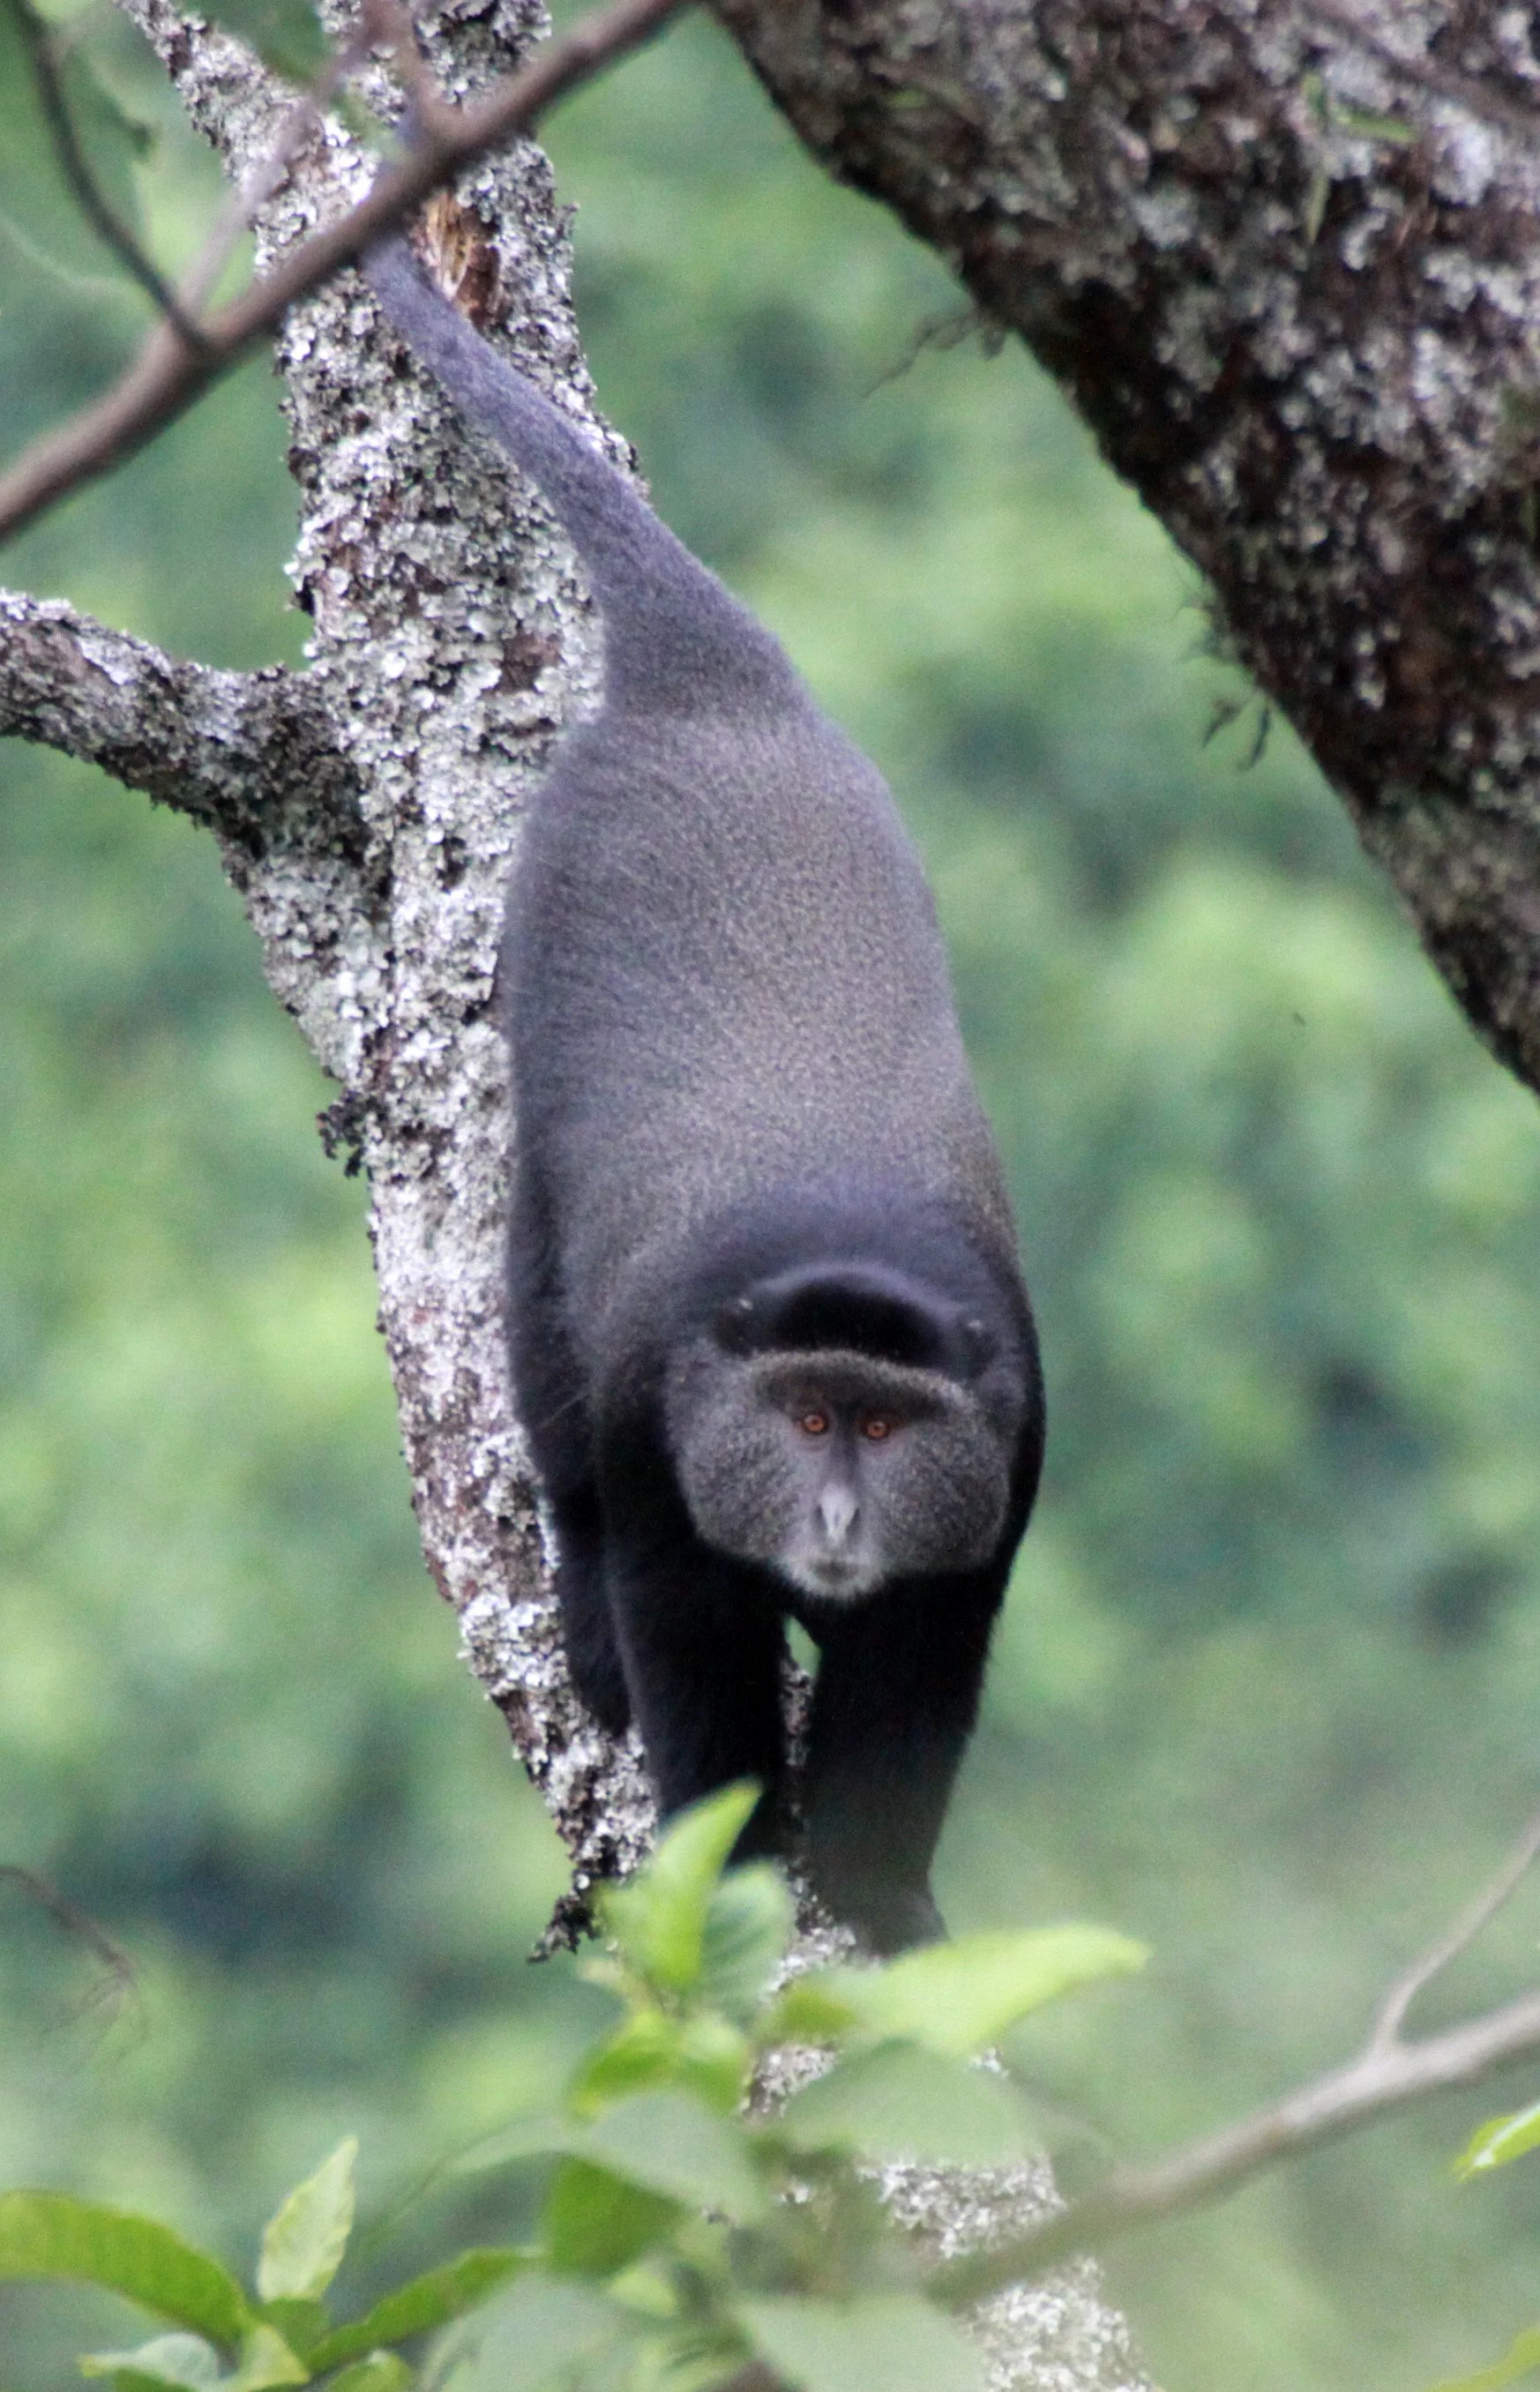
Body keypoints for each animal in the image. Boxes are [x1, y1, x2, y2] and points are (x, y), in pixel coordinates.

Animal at [364, 220, 1045, 1955]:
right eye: (804, 1415)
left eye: (880, 1425)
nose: (838, 1523)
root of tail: (710, 693)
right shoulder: (658, 1421)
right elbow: (688, 1651)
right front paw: (728, 1884)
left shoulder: (1001, 1459)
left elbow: (920, 1675)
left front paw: (881, 1900)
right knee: (545, 1386)